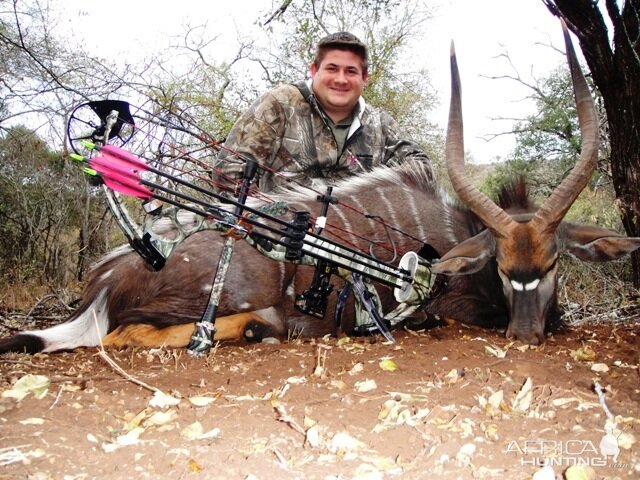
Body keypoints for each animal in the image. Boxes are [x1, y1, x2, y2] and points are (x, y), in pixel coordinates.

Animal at [1, 21, 640, 352]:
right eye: (506, 269)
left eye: (554, 262)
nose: (527, 332)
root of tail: (105, 281)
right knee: (125, 334)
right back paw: (264, 327)